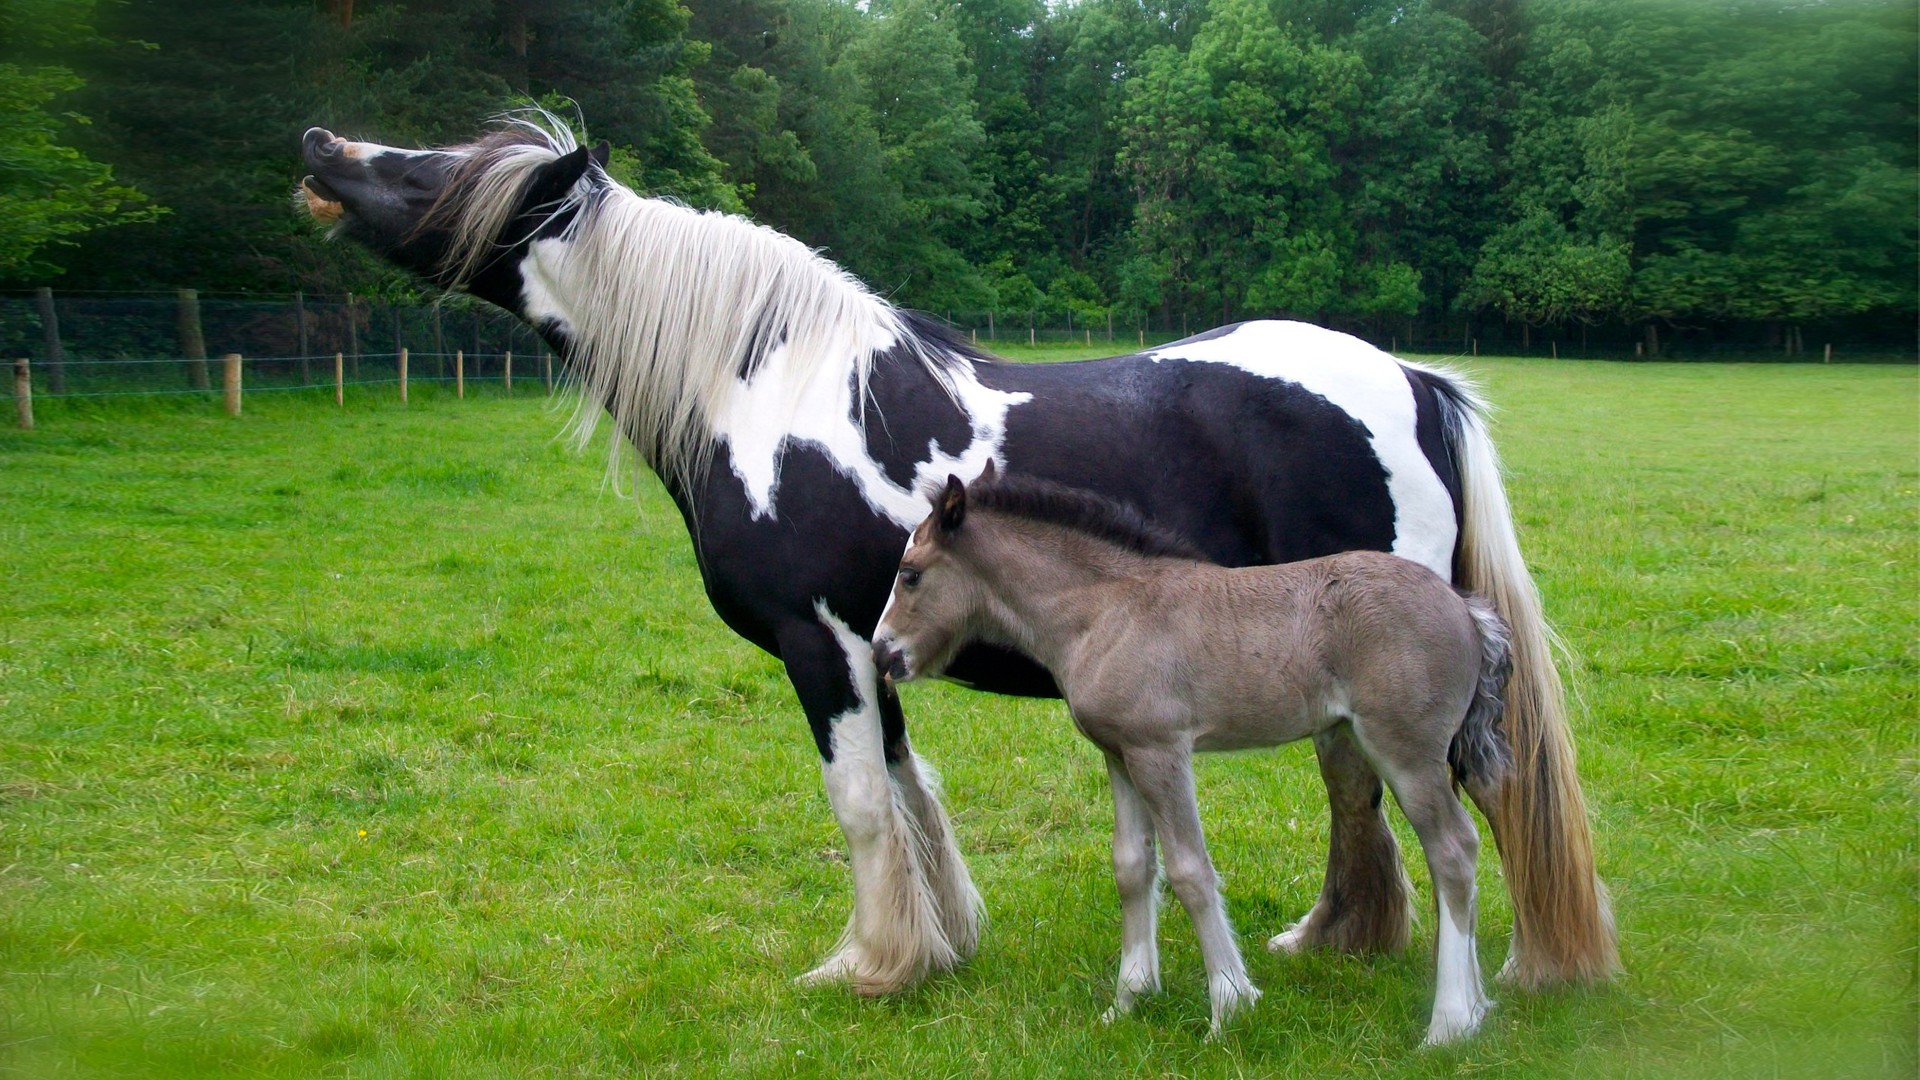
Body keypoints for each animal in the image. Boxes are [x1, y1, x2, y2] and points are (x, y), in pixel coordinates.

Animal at [871, 467, 1515, 1043]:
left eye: (910, 574)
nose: (882, 654)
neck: (1105, 611)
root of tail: (1466, 609)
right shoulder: (1119, 753)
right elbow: (1132, 866)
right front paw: (1129, 999)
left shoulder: (1160, 751)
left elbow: (1189, 870)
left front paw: (1229, 1004)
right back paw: (1477, 1007)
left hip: (1408, 753)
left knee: (1453, 850)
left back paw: (1450, 1021)